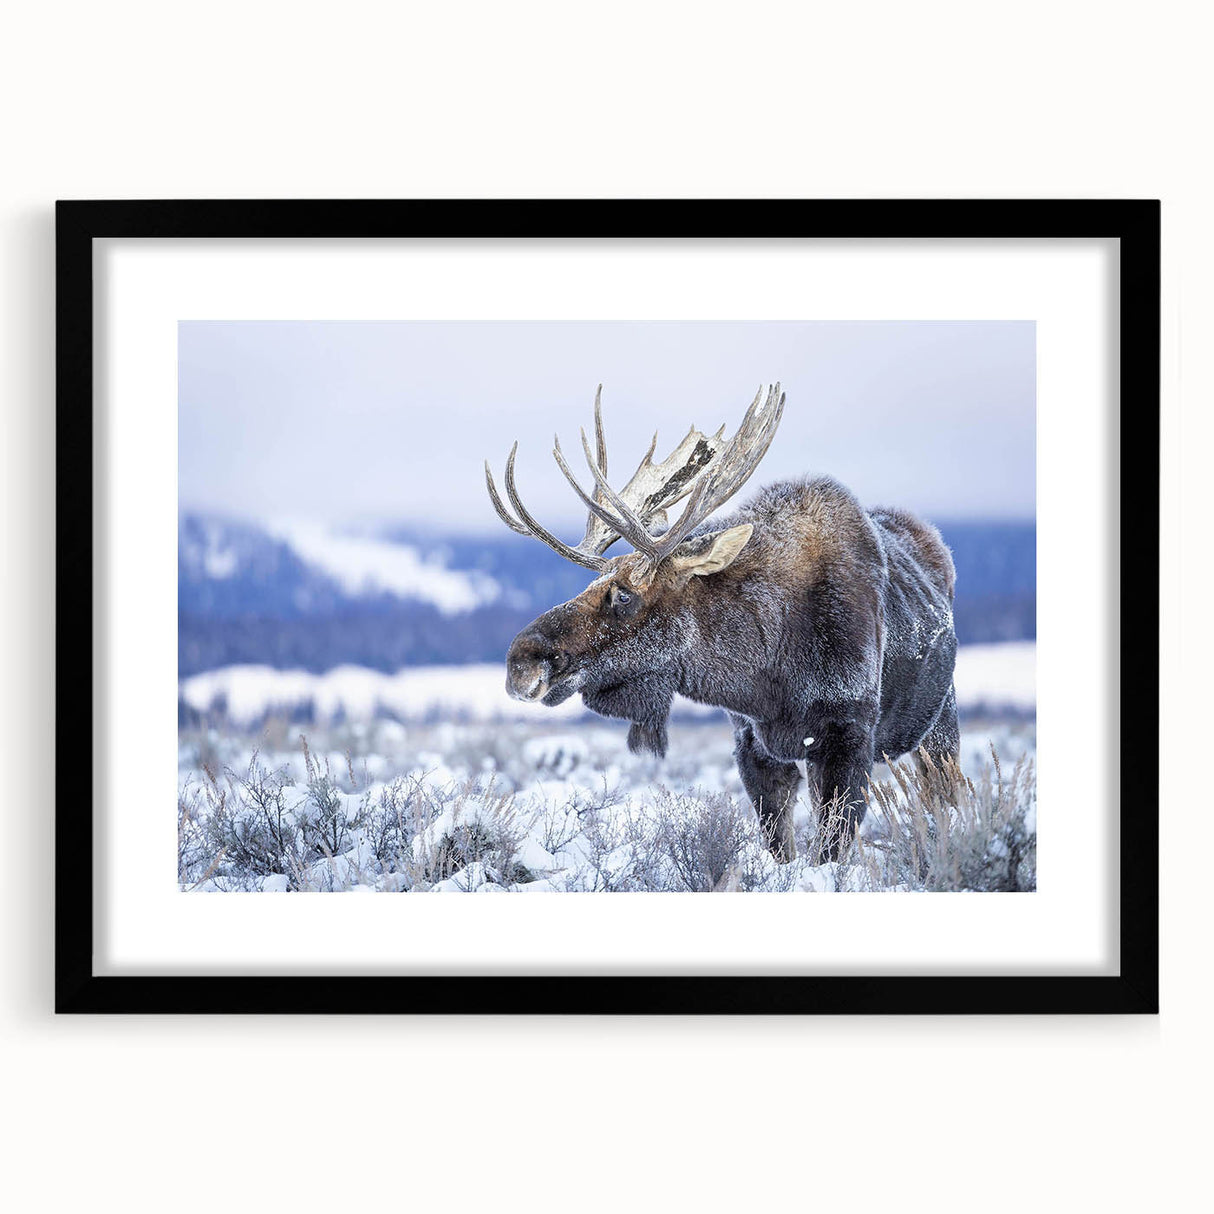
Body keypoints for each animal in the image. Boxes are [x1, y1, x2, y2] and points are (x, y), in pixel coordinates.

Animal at [485, 384, 959, 862]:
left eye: (624, 594)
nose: (520, 663)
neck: (767, 674)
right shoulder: (752, 744)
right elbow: (780, 846)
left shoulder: (848, 736)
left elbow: (831, 849)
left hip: (940, 723)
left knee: (945, 796)